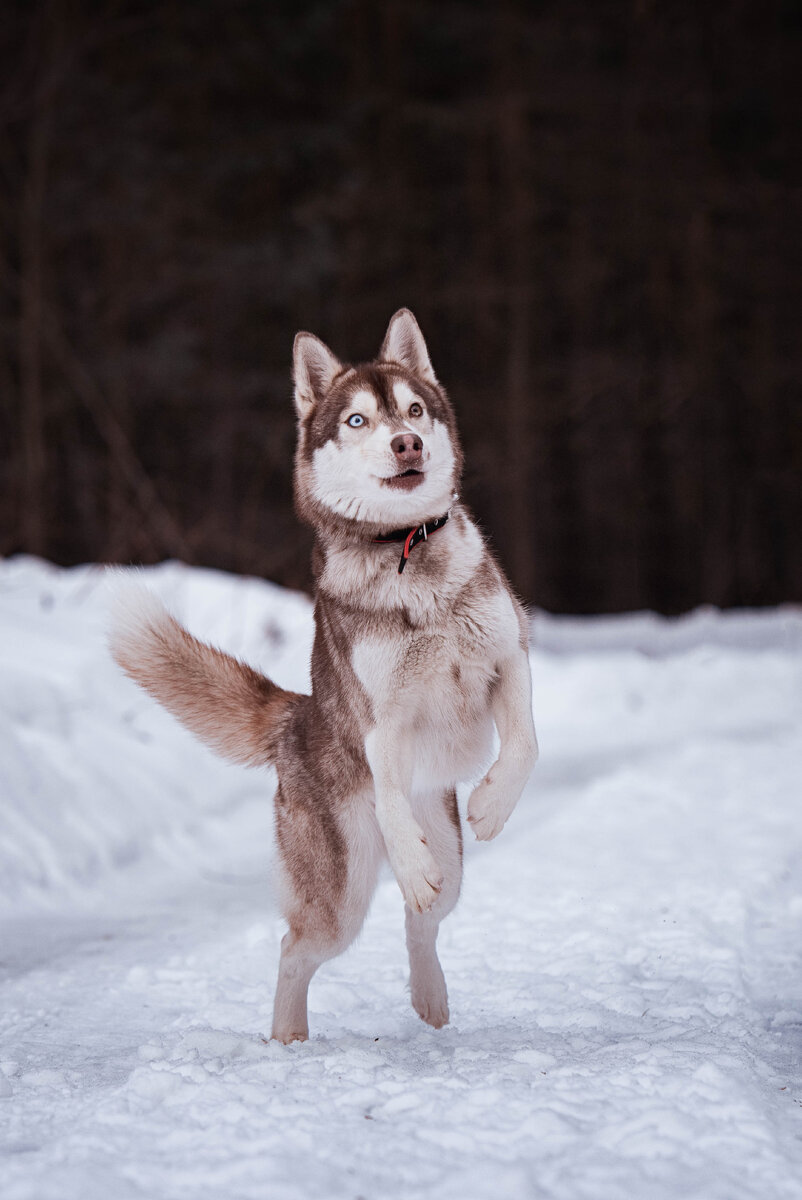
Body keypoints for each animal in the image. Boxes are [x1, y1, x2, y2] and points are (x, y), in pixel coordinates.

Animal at [111, 309, 537, 1041]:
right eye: (357, 420)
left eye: (415, 410)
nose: (406, 443)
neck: (409, 553)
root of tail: (296, 716)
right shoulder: (383, 718)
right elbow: (391, 795)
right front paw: (420, 851)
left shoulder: (509, 656)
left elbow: (524, 746)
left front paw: (490, 804)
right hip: (338, 892)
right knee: (297, 947)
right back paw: (289, 1039)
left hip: (449, 866)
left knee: (422, 917)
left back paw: (430, 1002)